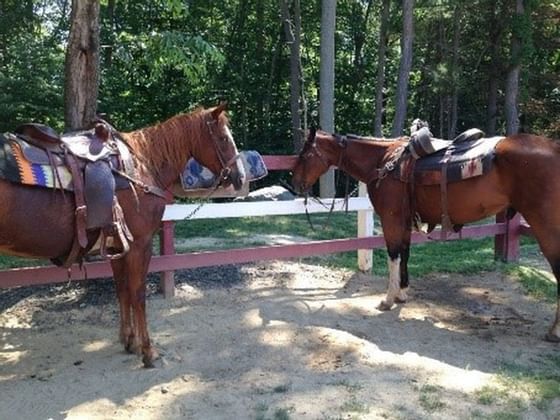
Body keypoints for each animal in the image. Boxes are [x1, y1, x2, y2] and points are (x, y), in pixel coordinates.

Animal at [0, 103, 245, 366]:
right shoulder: (140, 244)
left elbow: (122, 290)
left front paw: (129, 340)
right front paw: (147, 350)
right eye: (223, 138)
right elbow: (137, 293)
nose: (240, 177)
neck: (141, 166)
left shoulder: (116, 246)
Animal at [290, 130, 560, 342]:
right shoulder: (404, 220)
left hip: (546, 227)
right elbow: (405, 253)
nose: (295, 184)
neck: (384, 162)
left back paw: (553, 331)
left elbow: (394, 255)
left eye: (304, 155)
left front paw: (388, 299)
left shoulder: (390, 218)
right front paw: (402, 294)